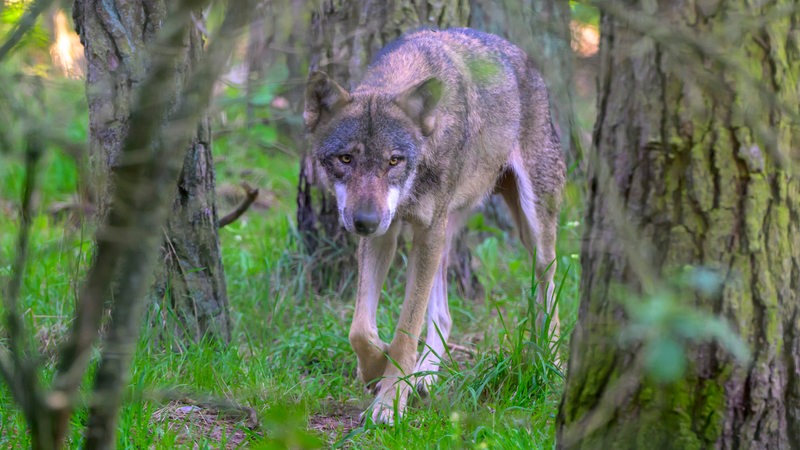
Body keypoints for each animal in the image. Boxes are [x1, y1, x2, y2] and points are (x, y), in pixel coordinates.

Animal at [304, 27, 564, 422]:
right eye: (345, 159)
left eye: (394, 161)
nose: (364, 221)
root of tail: (522, 56)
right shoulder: (386, 235)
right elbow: (361, 329)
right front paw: (376, 370)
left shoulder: (423, 231)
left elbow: (405, 331)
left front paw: (389, 403)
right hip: (443, 233)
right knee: (443, 316)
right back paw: (424, 376)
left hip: (531, 228)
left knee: (549, 286)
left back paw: (555, 363)